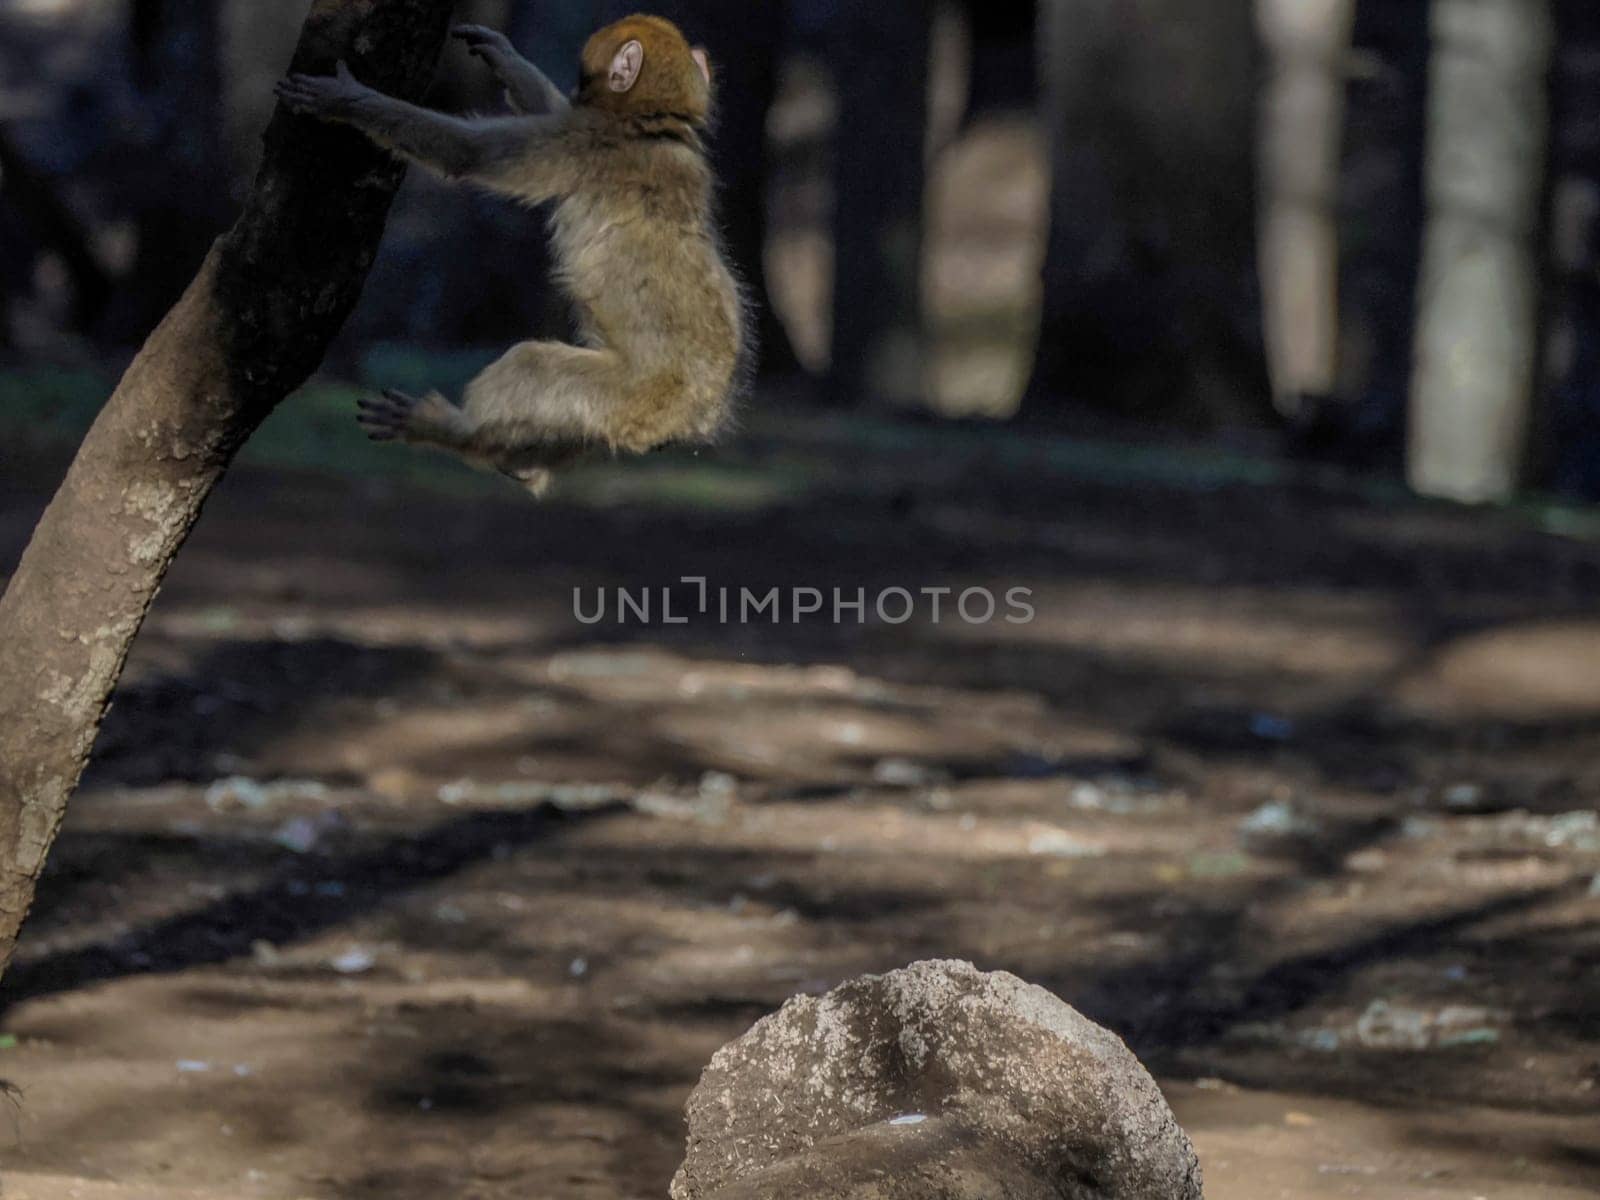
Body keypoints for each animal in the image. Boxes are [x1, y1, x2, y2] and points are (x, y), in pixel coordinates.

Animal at [275, 14, 748, 496]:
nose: (576, 89)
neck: (651, 128)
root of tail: (698, 417)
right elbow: (547, 110)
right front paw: (506, 59)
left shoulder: (585, 141)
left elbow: (470, 153)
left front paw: (350, 101)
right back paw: (514, 460)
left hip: (633, 397)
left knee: (532, 364)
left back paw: (455, 432)